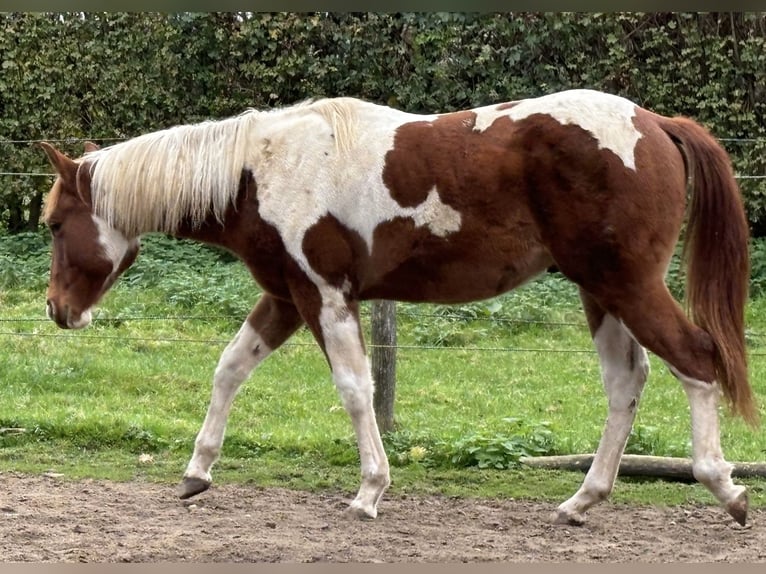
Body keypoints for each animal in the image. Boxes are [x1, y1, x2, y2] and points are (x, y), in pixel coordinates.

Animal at [43, 90, 760, 528]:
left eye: (53, 224)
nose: (56, 310)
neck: (261, 169)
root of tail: (656, 123)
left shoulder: (325, 297)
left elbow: (355, 390)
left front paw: (368, 492)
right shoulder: (285, 297)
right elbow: (229, 369)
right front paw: (197, 472)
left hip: (626, 286)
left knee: (696, 360)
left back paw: (725, 487)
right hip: (601, 291)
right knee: (626, 383)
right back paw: (581, 500)